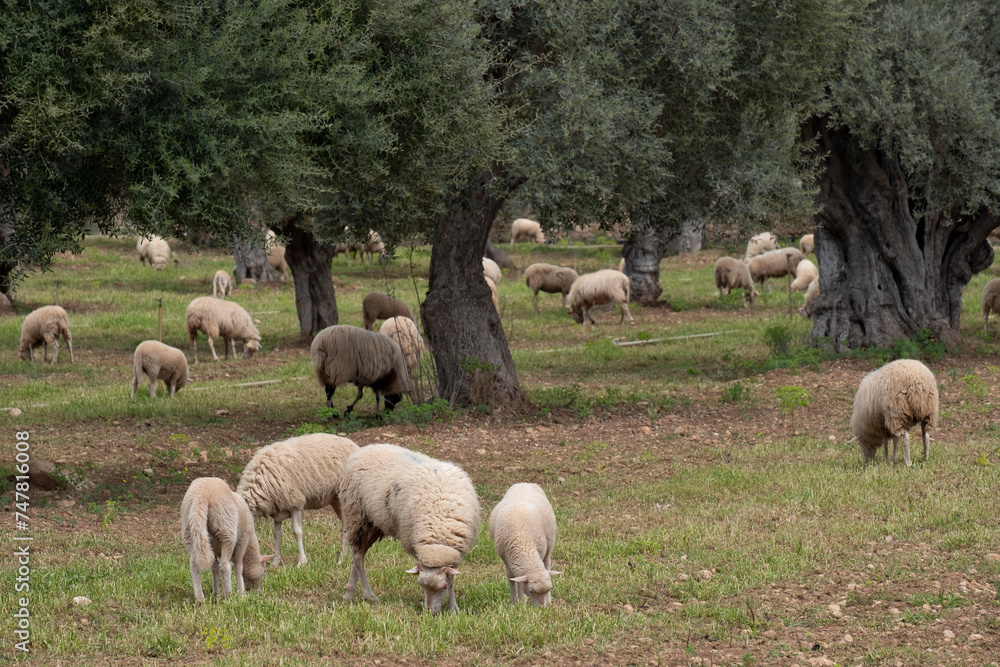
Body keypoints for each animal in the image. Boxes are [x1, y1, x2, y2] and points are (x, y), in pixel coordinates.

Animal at [236, 434, 359, 568]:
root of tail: (353, 444)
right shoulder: (277, 509)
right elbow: (277, 535)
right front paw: (276, 562)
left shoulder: (295, 503)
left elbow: (297, 532)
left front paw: (302, 562)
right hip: (336, 500)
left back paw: (341, 560)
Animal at [339, 443, 481, 614]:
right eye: (420, 585)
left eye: (444, 587)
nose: (430, 612)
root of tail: (364, 449)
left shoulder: (453, 554)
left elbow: (452, 578)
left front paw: (453, 608)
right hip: (358, 516)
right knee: (357, 557)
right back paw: (367, 595)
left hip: (374, 523)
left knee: (357, 554)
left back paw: (350, 593)